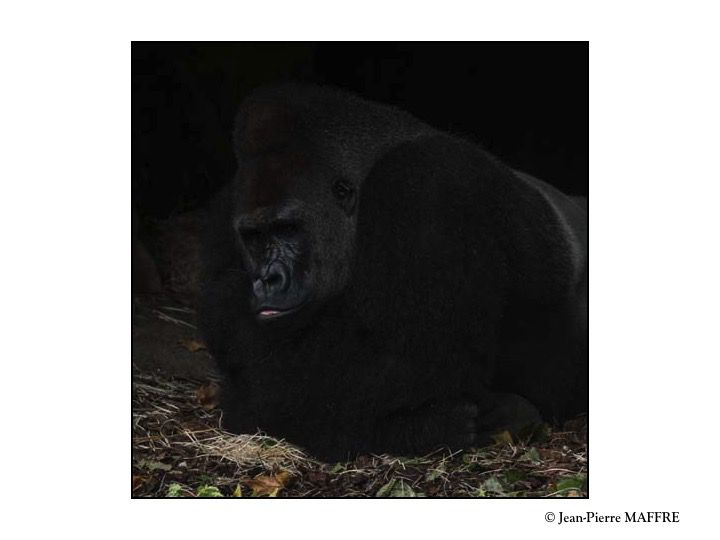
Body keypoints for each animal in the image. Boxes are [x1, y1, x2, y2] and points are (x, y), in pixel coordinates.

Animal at [195, 82, 584, 462]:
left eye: (288, 229)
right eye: (255, 237)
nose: (268, 280)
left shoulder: (429, 183)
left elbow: (408, 360)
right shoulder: (225, 209)